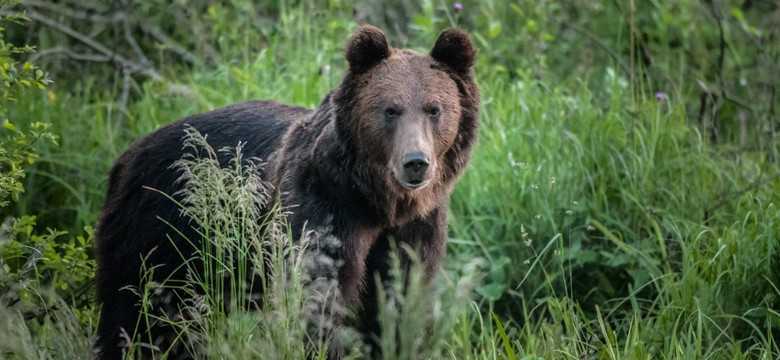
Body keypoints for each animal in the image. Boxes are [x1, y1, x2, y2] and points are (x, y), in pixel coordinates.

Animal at [94, 23, 478, 358]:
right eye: (390, 110)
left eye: (434, 109)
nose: (416, 162)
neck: (377, 203)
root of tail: (127, 157)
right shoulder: (322, 211)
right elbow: (313, 298)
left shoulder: (415, 229)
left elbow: (401, 301)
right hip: (161, 235)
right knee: (135, 315)